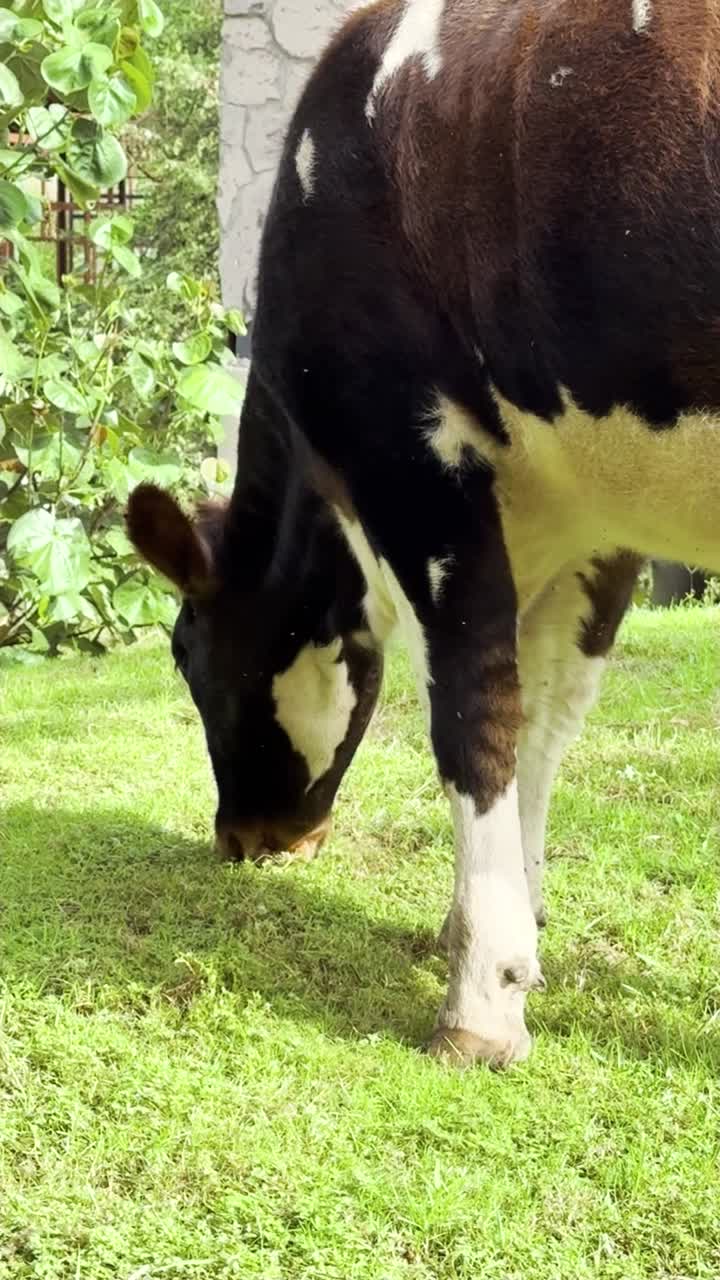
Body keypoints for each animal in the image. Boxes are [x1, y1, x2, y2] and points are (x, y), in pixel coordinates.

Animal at [128, 0, 720, 1070]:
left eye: (186, 656)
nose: (243, 838)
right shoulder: (595, 520)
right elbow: (546, 718)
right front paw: (508, 927)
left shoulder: (417, 465)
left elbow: (474, 715)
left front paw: (481, 999)